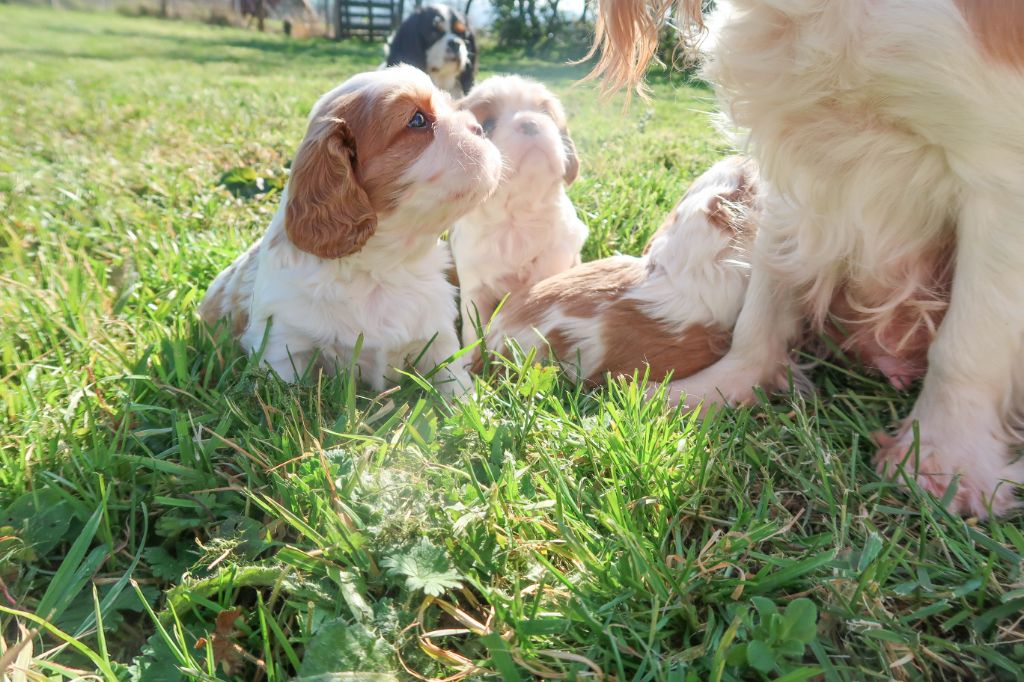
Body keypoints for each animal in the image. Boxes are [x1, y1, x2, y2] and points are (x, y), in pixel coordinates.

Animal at [197, 65, 501, 393]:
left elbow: (454, 384)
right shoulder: (282, 345)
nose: (480, 128)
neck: (385, 267)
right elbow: (283, 392)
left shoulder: (439, 337)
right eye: (417, 120)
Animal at [452, 75, 589, 346]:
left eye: (546, 113)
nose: (530, 122)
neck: (518, 218)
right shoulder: (474, 288)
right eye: (487, 125)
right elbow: (473, 333)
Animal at [589, 0, 1024, 512]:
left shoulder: (999, 179)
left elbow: (969, 341)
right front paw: (716, 390)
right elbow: (762, 307)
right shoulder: (791, 171)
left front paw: (941, 462)